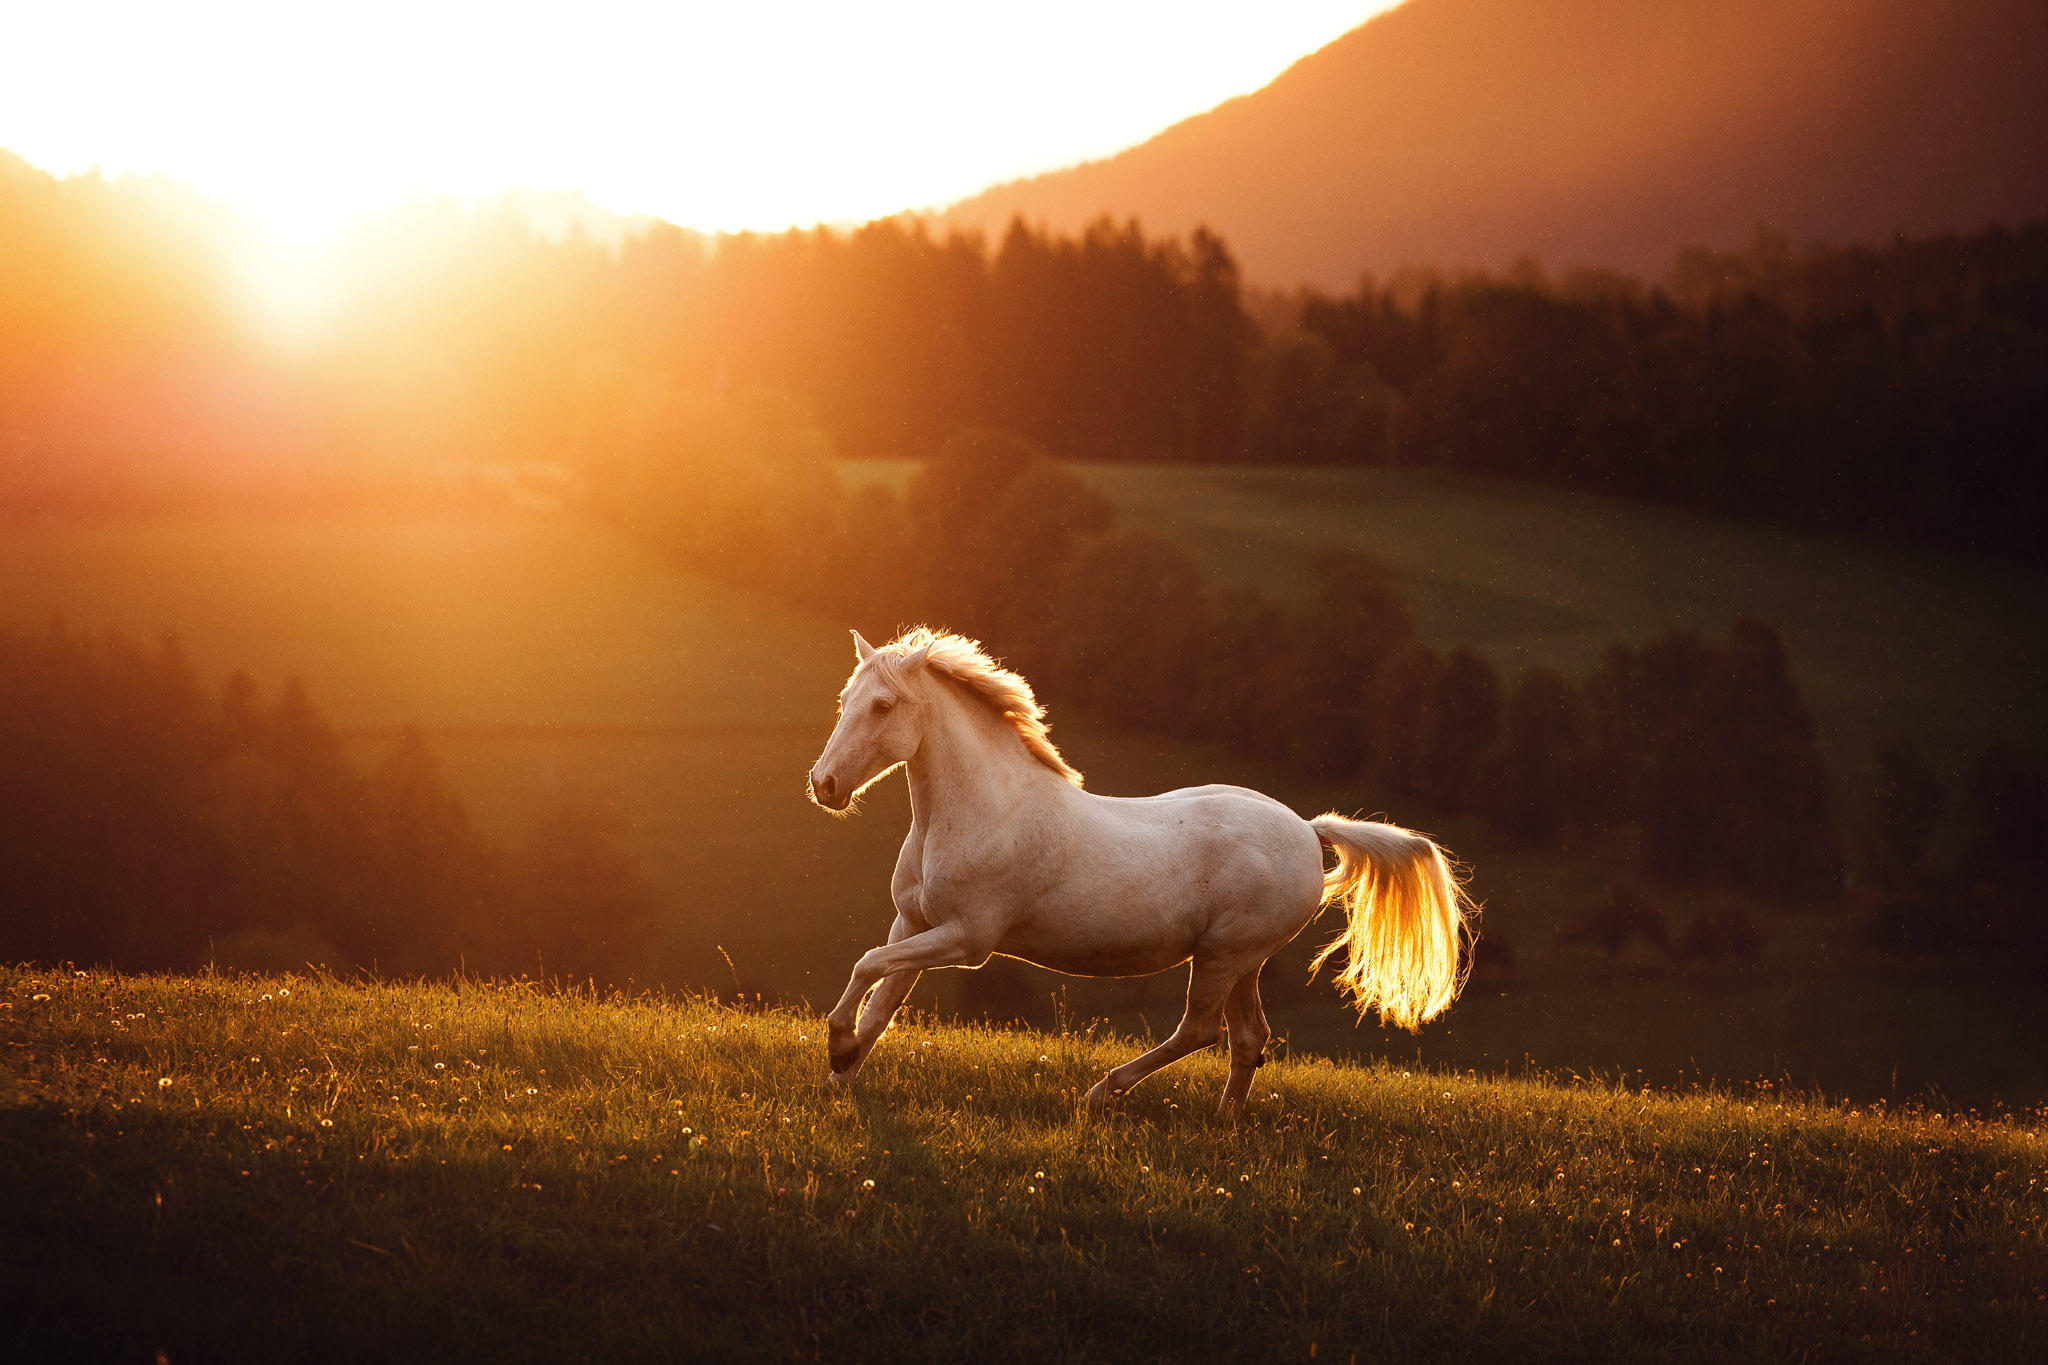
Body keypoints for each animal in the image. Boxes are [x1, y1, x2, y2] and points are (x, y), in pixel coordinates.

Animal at [806, 626, 1474, 1117]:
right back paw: (1224, 1123)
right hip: (1244, 962)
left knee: (1200, 1031)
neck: (986, 811)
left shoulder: (967, 940)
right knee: (1248, 1039)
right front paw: (842, 1072)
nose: (825, 785)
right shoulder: (912, 923)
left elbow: (867, 967)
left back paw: (1104, 1093)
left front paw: (837, 1049)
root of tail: (1309, 832)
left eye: (884, 705)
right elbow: (881, 998)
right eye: (843, 701)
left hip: (1223, 956)